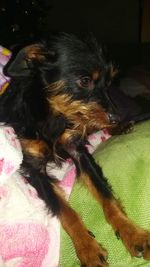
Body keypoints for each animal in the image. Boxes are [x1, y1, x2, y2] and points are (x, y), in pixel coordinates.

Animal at [0, 32, 150, 266]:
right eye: (85, 81)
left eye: (109, 82)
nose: (116, 116)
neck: (54, 114)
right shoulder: (34, 168)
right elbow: (65, 210)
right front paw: (88, 248)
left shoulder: (78, 151)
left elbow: (107, 196)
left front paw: (132, 233)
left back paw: (120, 127)